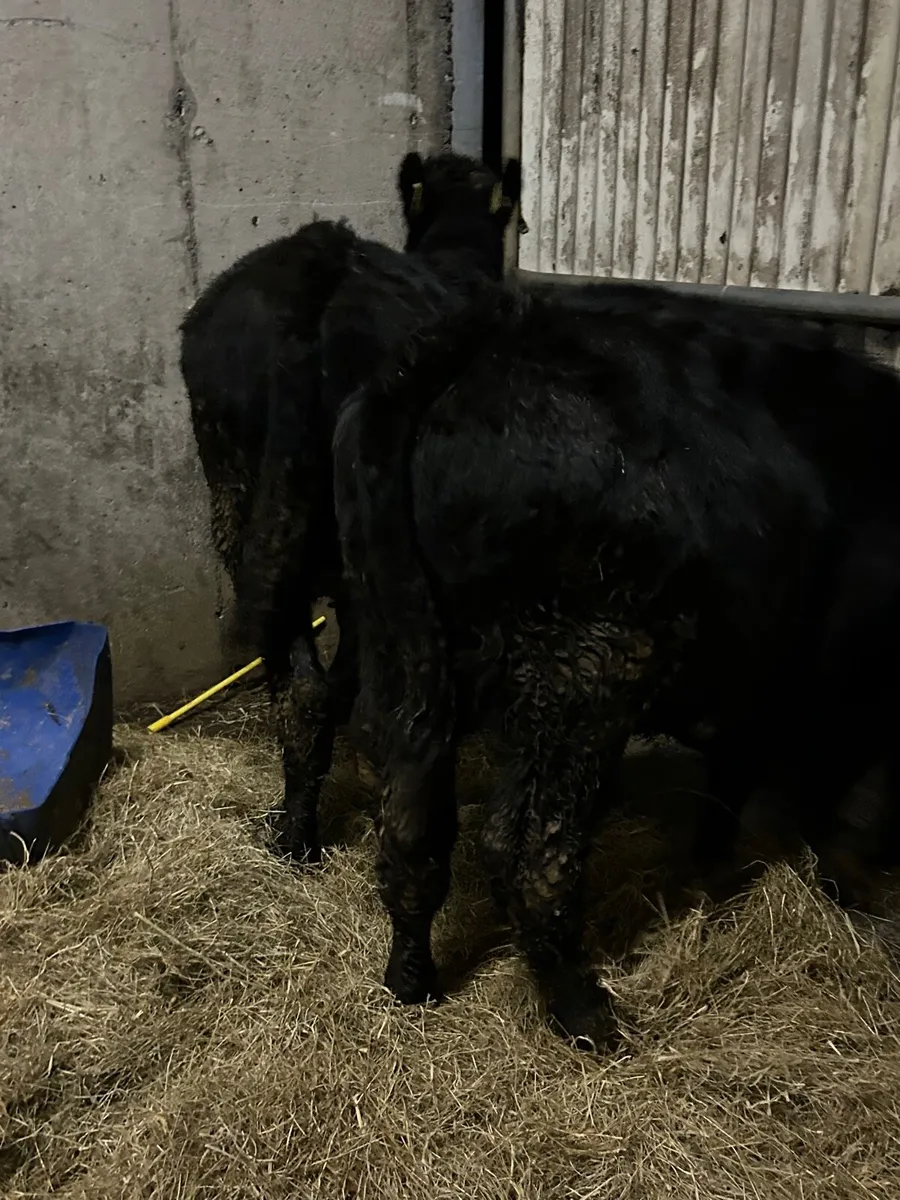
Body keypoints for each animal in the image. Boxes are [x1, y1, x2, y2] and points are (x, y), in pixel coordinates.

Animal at [333, 278, 900, 1049]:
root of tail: (491, 333)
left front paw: (715, 871)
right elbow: (856, 799)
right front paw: (856, 894)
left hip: (402, 654)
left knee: (411, 823)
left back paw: (410, 981)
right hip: (588, 671)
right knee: (526, 851)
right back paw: (585, 1013)